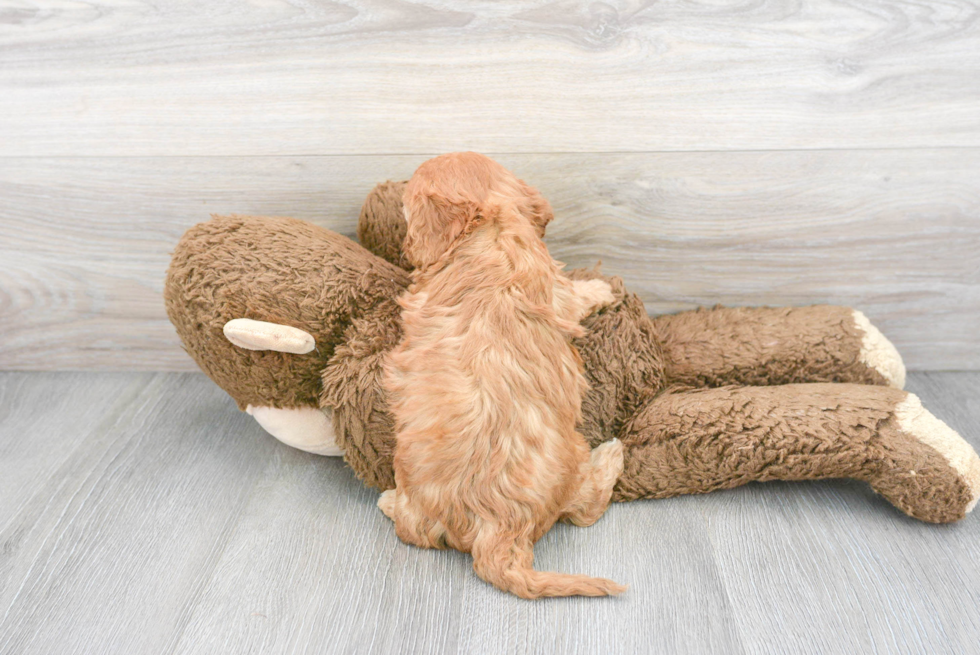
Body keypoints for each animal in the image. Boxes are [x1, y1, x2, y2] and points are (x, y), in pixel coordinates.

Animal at [378, 154, 624, 600]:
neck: (489, 228)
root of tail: (497, 528)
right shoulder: (556, 291)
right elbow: (577, 295)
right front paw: (602, 288)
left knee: (411, 528)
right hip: (573, 463)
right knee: (586, 510)